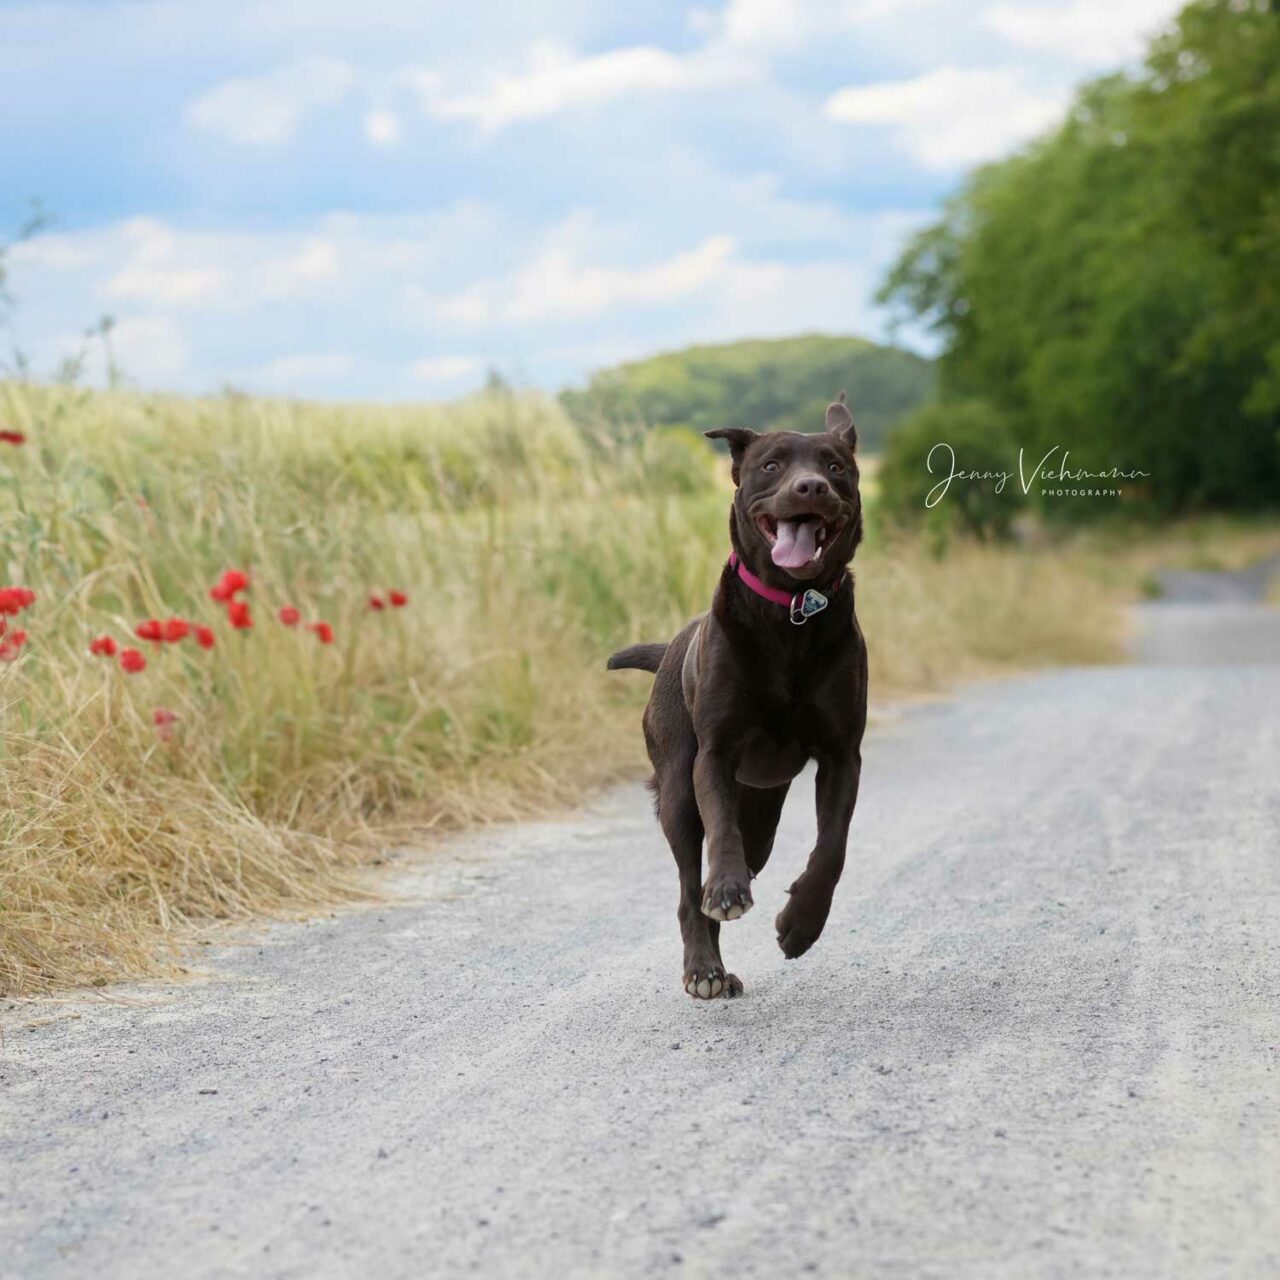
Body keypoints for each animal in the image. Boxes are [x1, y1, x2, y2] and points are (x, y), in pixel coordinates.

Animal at [606, 389, 870, 998]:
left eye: (835, 468)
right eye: (771, 466)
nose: (810, 488)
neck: (792, 611)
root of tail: (669, 650)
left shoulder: (842, 756)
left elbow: (832, 848)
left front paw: (800, 925)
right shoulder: (716, 752)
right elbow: (719, 838)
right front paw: (726, 890)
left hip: (764, 813)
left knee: (743, 855)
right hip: (678, 790)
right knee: (689, 885)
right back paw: (704, 967)